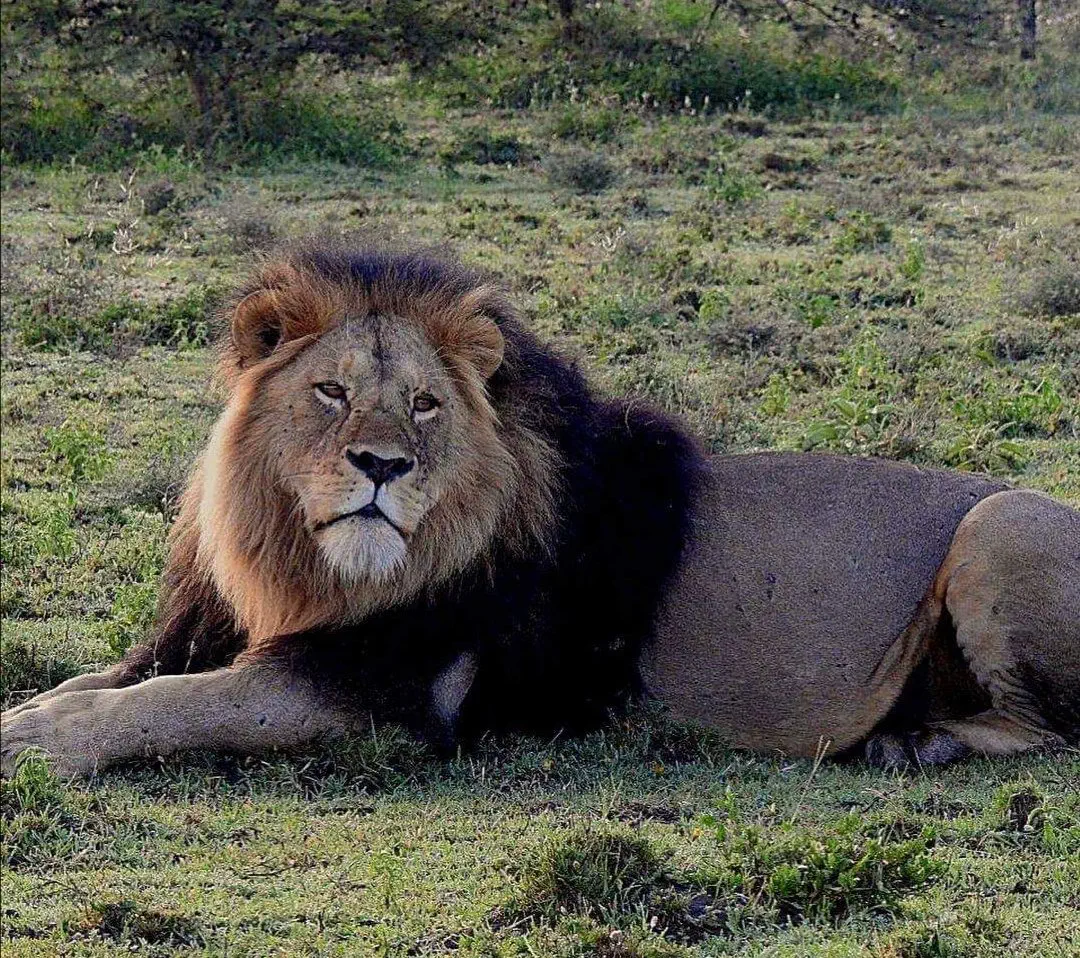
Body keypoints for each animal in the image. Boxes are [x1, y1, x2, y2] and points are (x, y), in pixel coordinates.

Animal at [2, 244, 1078, 777]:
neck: (303, 570)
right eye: (331, 393)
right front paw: (32, 710)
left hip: (998, 526)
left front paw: (40, 744)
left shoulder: (385, 698)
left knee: (1052, 730)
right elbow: (112, 679)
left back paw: (914, 742)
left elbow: (172, 704)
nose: (382, 466)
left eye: (424, 404)